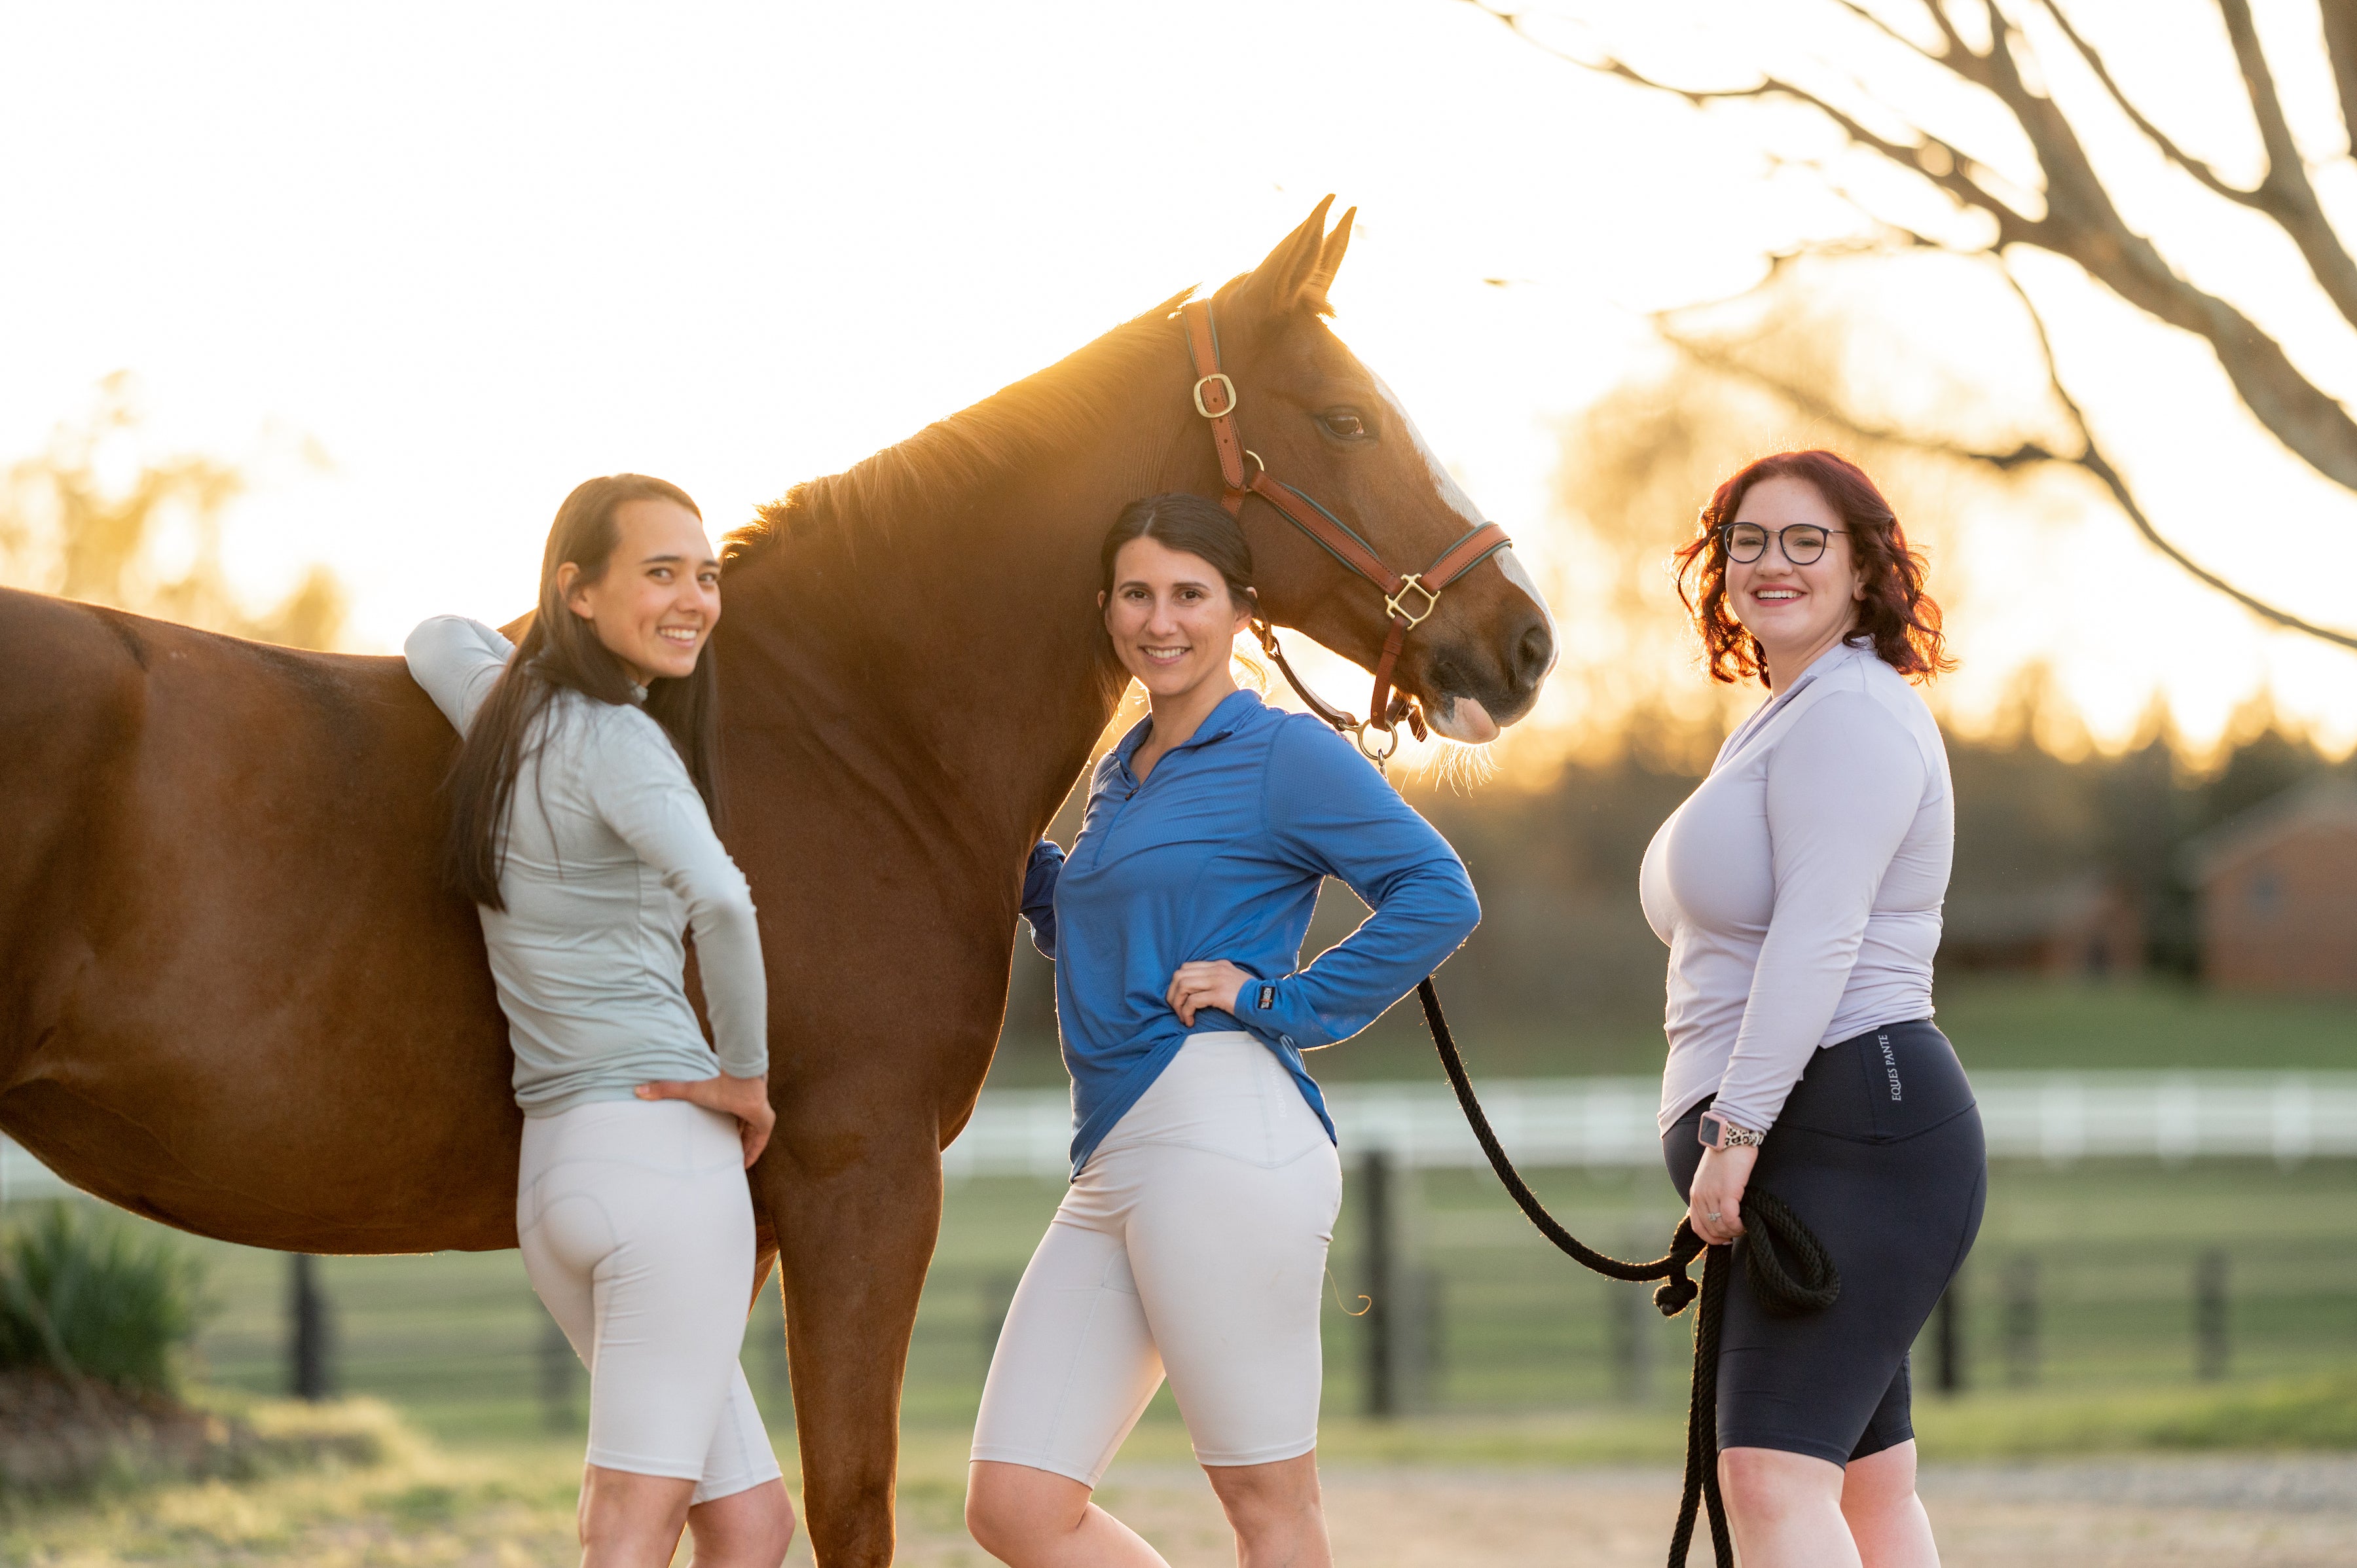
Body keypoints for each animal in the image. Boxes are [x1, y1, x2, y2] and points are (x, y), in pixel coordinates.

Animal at [5, 201, 1565, 1556]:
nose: (1528, 641)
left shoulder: (742, 1226)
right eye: (1348, 418)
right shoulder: (858, 1180)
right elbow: (850, 1503)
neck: (847, 726)